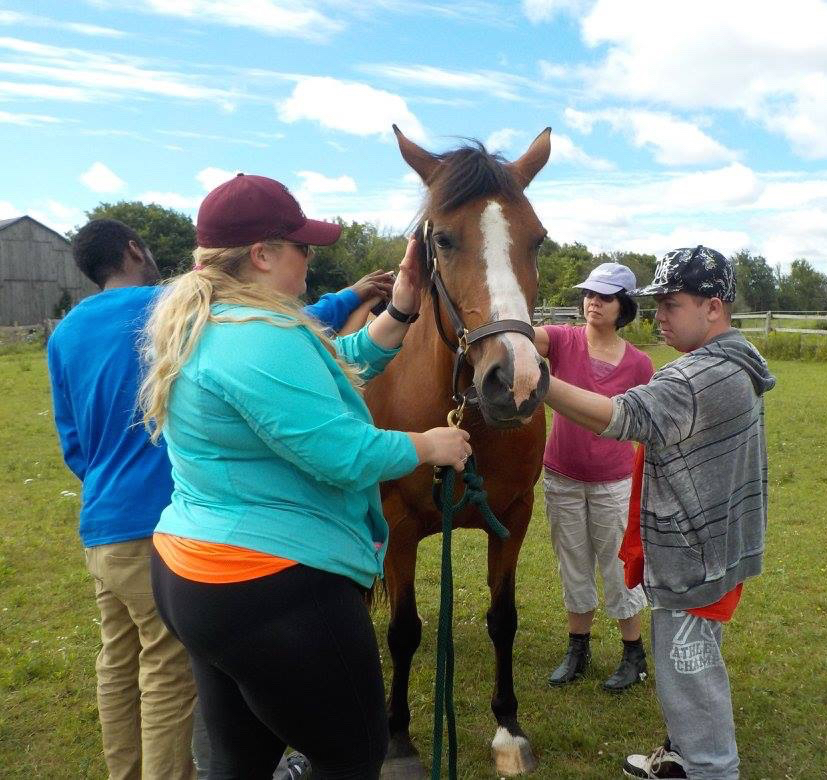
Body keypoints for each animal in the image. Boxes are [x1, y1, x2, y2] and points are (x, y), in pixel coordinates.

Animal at [368, 126, 548, 772]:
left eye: (539, 240)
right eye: (443, 238)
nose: (515, 380)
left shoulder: (513, 516)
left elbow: (503, 619)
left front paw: (509, 727)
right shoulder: (397, 524)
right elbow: (404, 630)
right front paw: (397, 740)